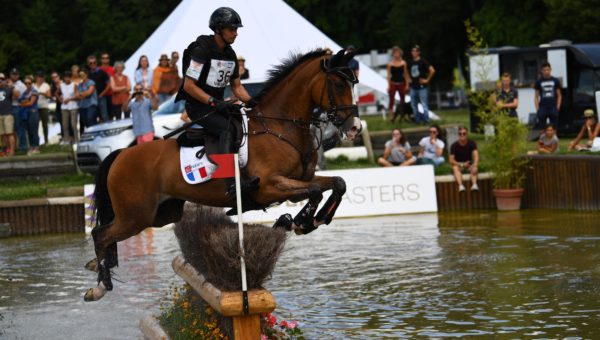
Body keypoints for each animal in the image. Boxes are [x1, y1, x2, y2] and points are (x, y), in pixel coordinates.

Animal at [85, 49, 360, 302]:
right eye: (338, 84)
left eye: (354, 83)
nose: (354, 127)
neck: (281, 127)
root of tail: (121, 154)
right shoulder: (269, 188)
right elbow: (314, 191)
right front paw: (298, 221)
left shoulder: (300, 181)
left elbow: (337, 184)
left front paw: (312, 220)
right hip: (135, 215)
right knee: (101, 234)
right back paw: (99, 286)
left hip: (159, 214)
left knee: (107, 235)